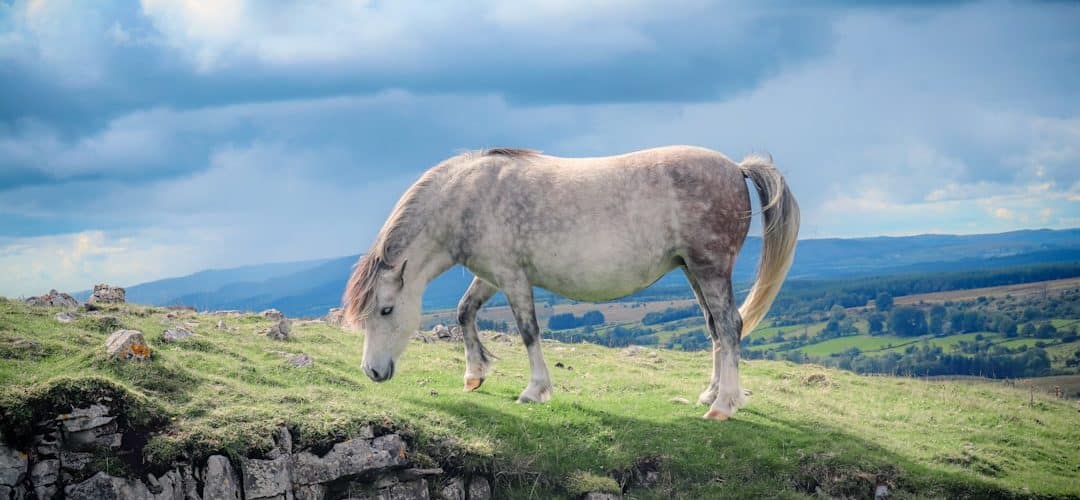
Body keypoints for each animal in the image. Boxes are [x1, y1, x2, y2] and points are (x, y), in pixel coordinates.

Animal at [341, 145, 799, 423]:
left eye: (386, 310)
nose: (372, 372)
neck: (468, 199)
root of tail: (736, 168)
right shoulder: (491, 276)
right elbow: (464, 312)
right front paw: (474, 374)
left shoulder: (512, 277)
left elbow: (528, 332)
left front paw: (535, 390)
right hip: (693, 271)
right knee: (716, 329)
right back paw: (711, 394)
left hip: (710, 268)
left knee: (730, 327)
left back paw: (723, 406)